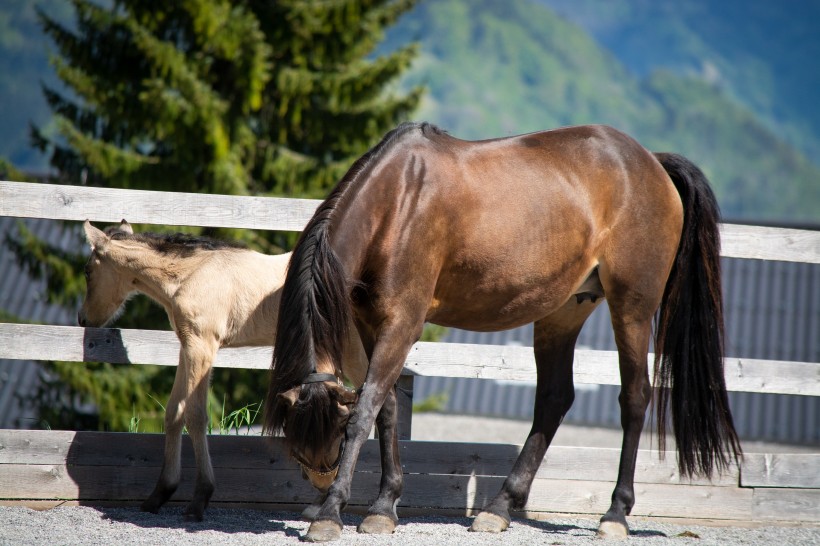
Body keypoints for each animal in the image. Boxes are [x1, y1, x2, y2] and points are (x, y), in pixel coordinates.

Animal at [79, 220, 366, 520]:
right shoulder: (187, 346)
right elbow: (174, 413)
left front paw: (199, 499)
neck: (190, 275)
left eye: (87, 271)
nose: (83, 318)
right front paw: (159, 494)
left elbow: (195, 416)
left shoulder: (202, 346)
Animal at [264, 122, 744, 540]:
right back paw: (498, 507)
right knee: (553, 399)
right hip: (564, 310)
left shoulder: (402, 323)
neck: (396, 202)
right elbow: (386, 409)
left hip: (633, 307)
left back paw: (614, 515)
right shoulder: (370, 324)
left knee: (635, 398)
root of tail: (652, 162)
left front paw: (331, 515)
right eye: (297, 447)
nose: (318, 489)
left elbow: (366, 409)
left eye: (330, 438)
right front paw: (383, 507)